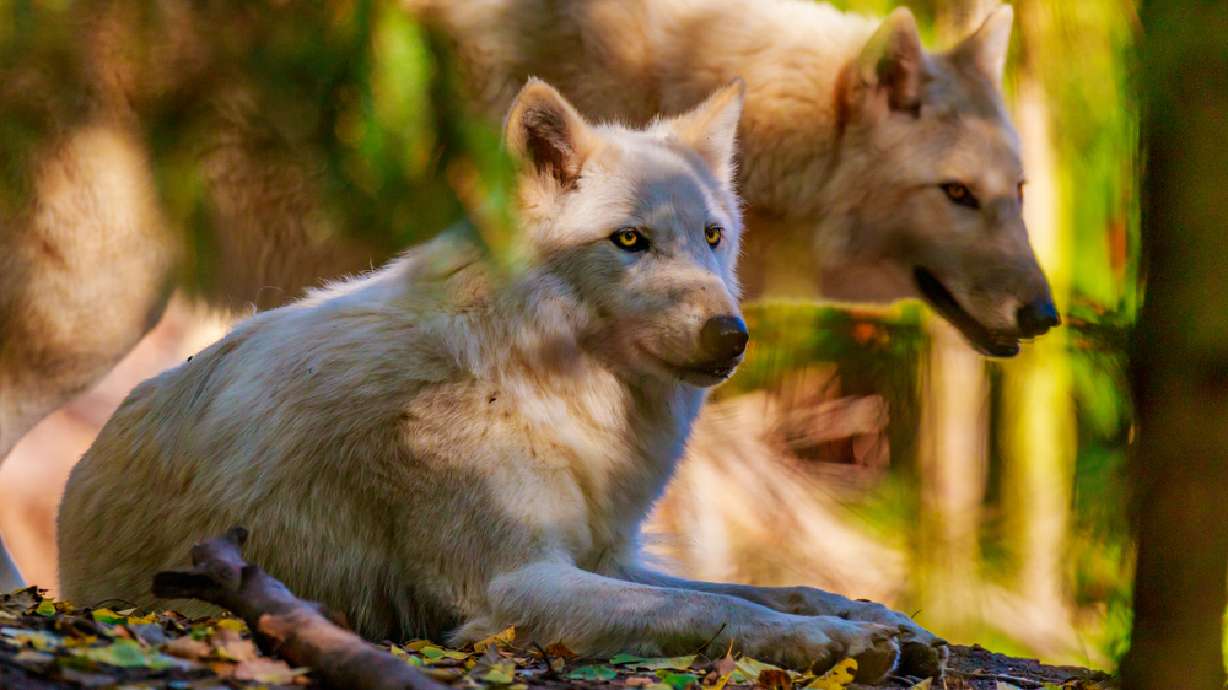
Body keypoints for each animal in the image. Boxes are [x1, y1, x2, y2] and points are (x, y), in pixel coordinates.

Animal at [56, 79, 935, 681]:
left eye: (714, 237)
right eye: (630, 240)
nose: (733, 335)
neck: (533, 378)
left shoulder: (603, 554)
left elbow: (766, 588)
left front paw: (877, 619)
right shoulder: (514, 585)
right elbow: (703, 603)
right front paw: (832, 643)